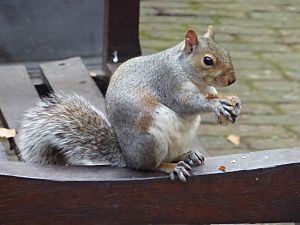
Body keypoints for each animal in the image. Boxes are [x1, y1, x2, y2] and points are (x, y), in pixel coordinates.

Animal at [17, 25, 241, 181]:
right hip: (151, 139)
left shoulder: (206, 88)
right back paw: (170, 167)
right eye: (208, 60)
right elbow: (185, 104)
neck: (188, 73)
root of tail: (127, 157)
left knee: (171, 155)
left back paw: (188, 154)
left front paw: (234, 103)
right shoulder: (168, 82)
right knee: (150, 166)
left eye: (228, 53)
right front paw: (217, 105)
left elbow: (212, 94)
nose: (232, 80)